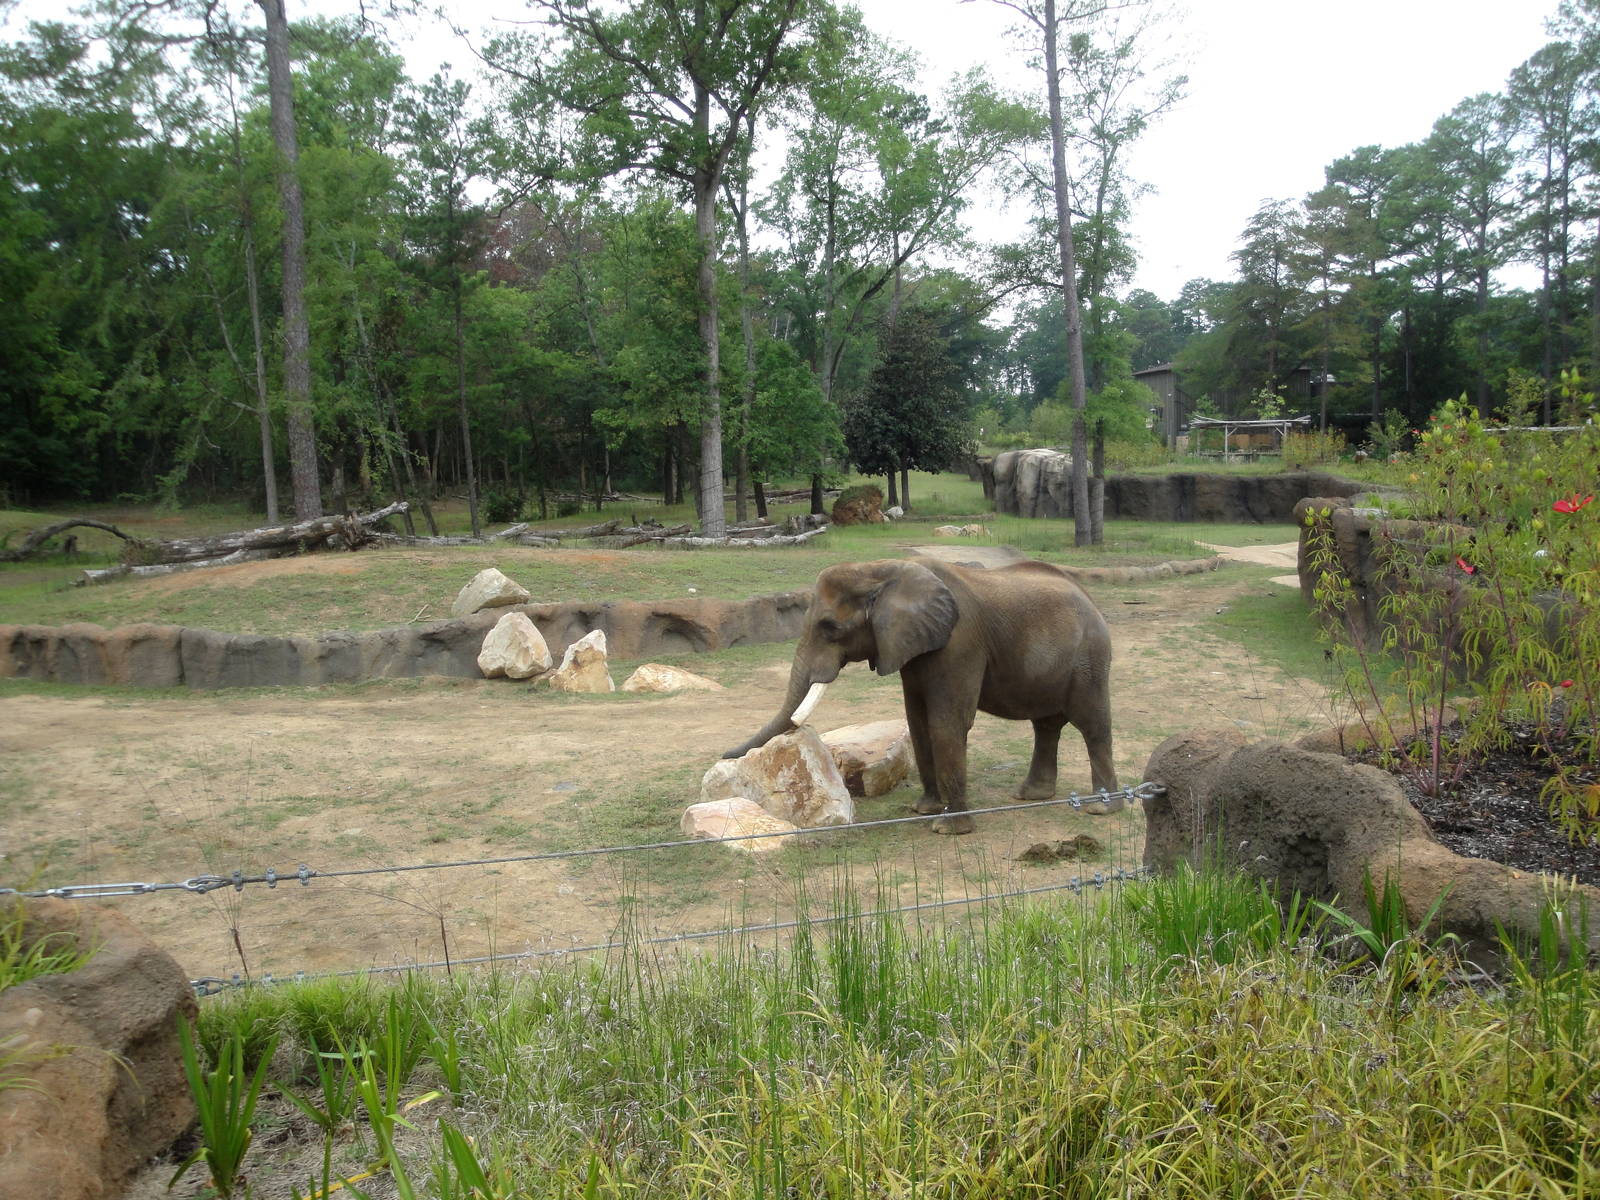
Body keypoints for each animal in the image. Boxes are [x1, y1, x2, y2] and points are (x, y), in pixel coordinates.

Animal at [724, 557, 1120, 834]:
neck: (881, 570)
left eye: (830, 628)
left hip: (1089, 658)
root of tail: (1090, 598)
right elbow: (917, 721)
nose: (725, 755)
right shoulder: (909, 646)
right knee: (1046, 725)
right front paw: (924, 809)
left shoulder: (959, 642)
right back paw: (1030, 795)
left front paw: (948, 829)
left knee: (1092, 724)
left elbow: (947, 723)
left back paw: (1101, 807)